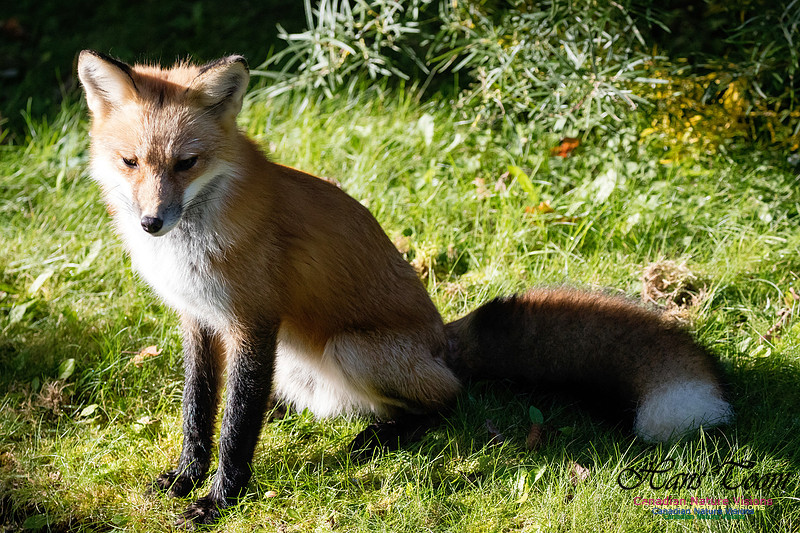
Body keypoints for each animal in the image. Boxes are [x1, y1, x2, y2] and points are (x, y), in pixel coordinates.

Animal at [76, 50, 733, 527]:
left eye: (186, 163)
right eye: (131, 162)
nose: (151, 222)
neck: (190, 246)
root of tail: (444, 339)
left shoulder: (252, 322)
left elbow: (236, 426)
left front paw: (219, 499)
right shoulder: (199, 321)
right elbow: (199, 410)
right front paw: (188, 475)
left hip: (352, 349)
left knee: (449, 399)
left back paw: (385, 436)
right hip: (302, 364)